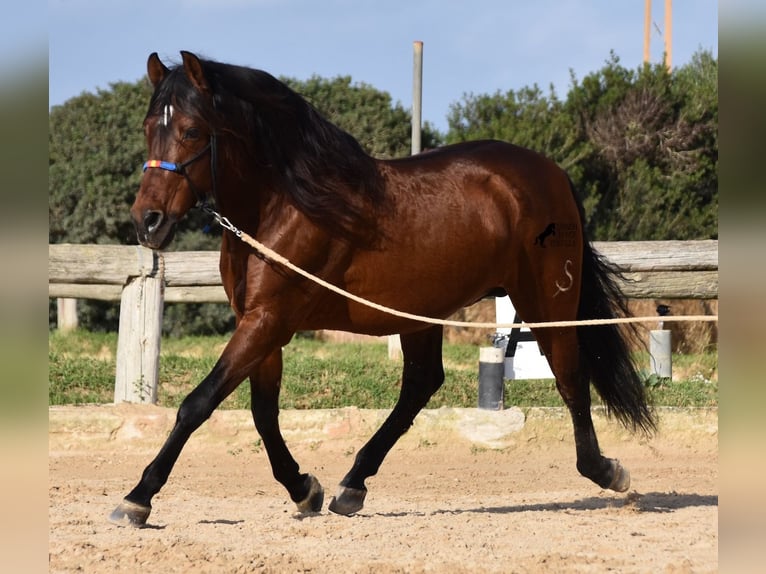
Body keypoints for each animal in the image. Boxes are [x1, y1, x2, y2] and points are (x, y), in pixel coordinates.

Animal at [109, 51, 656, 528]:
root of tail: (551, 173)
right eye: (147, 129)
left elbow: (197, 404)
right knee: (421, 385)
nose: (146, 221)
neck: (284, 205)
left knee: (569, 375)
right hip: (424, 311)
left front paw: (137, 498)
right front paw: (304, 488)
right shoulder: (260, 322)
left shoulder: (268, 321)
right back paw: (352, 484)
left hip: (546, 299)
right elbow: (263, 414)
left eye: (191, 131)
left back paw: (605, 470)